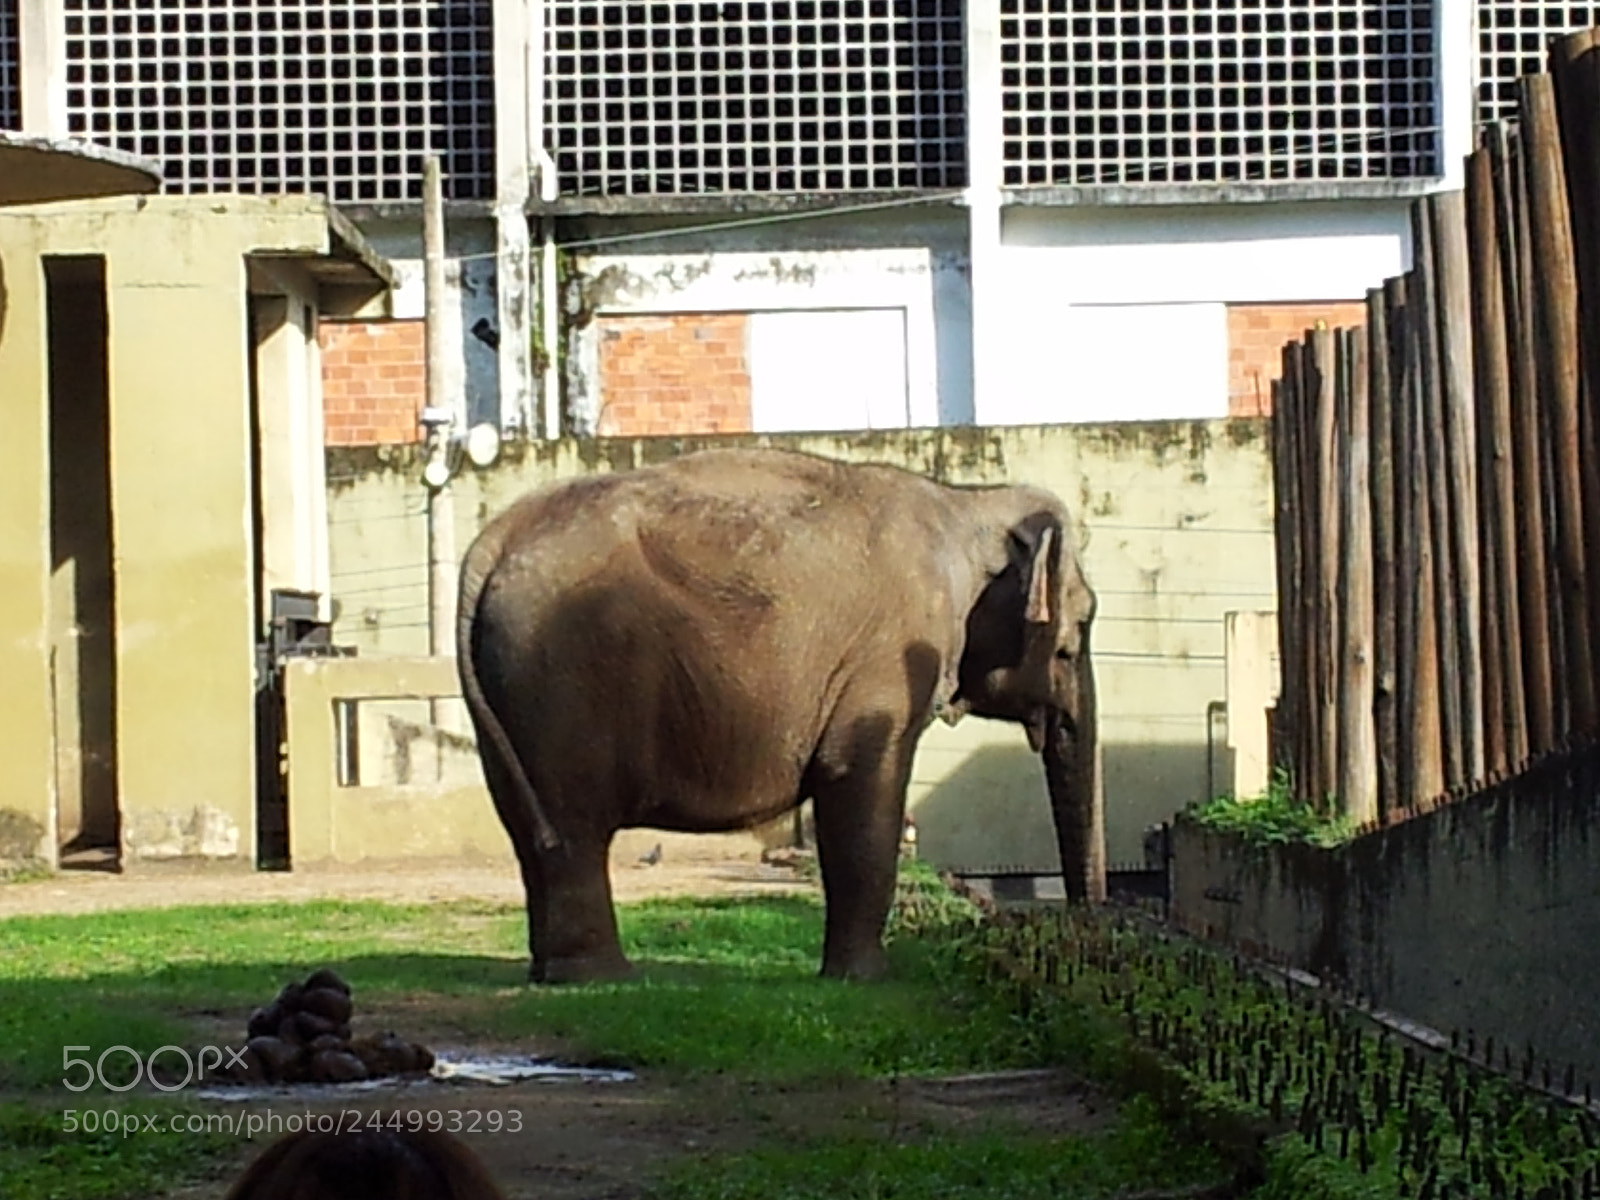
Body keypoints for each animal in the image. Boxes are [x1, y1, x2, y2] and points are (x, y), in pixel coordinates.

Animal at [455, 447, 1104, 984]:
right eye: (1078, 631)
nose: (1081, 934)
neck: (968, 500)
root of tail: (495, 541)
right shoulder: (889, 658)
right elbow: (862, 781)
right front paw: (864, 982)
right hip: (560, 680)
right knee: (576, 823)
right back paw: (602, 980)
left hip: (510, 692)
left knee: (534, 829)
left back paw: (555, 975)